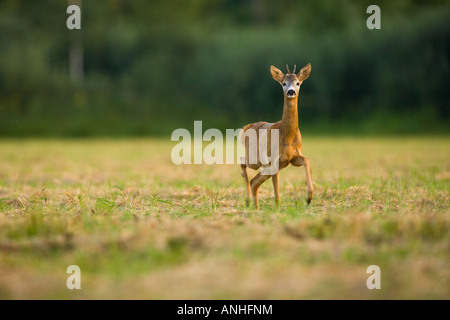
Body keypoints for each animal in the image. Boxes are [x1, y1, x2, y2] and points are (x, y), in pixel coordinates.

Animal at [239, 64, 312, 210]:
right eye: (284, 83)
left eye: (298, 83)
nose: (291, 92)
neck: (287, 137)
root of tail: (246, 128)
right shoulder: (275, 159)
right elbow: (276, 187)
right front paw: (278, 207)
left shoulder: (293, 157)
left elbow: (306, 160)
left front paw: (309, 197)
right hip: (255, 159)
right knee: (243, 162)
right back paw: (248, 201)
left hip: (264, 164)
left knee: (254, 181)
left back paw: (256, 206)